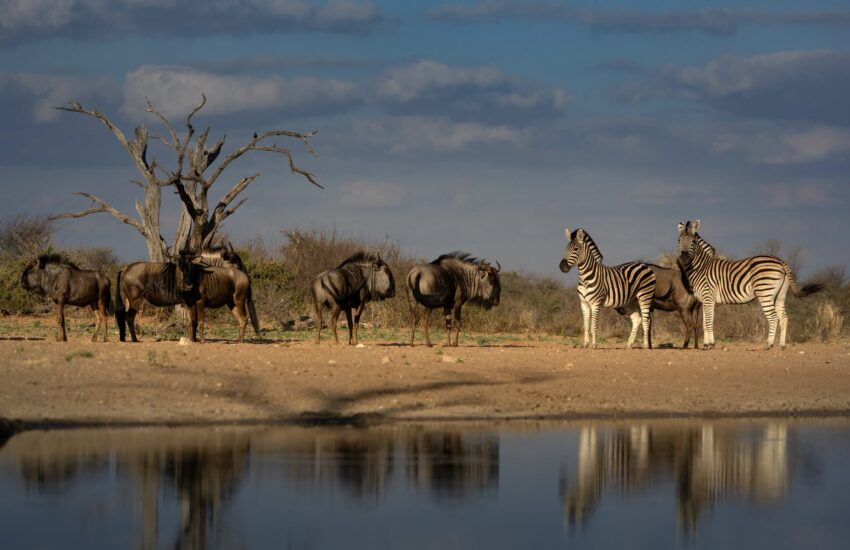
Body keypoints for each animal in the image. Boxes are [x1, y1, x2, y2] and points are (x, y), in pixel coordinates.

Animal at [676, 220, 824, 350]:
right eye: (679, 241)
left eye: (693, 242)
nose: (684, 257)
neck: (701, 267)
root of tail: (781, 261)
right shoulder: (706, 301)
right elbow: (705, 323)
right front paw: (707, 345)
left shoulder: (708, 297)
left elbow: (708, 322)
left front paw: (710, 345)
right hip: (780, 295)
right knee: (784, 318)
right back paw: (782, 345)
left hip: (765, 293)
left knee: (773, 318)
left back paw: (769, 345)